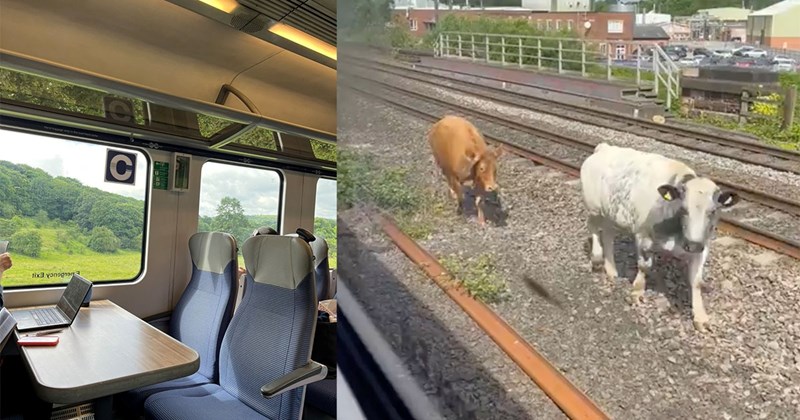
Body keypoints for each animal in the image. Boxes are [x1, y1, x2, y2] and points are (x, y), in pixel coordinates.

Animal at [580, 143, 740, 330]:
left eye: (713, 211)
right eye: (683, 209)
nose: (692, 246)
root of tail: (605, 147)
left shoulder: (703, 245)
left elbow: (697, 281)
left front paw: (701, 317)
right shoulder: (643, 236)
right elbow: (644, 266)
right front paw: (637, 292)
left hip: (611, 213)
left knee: (607, 233)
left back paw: (611, 269)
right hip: (593, 207)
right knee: (593, 227)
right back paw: (597, 259)